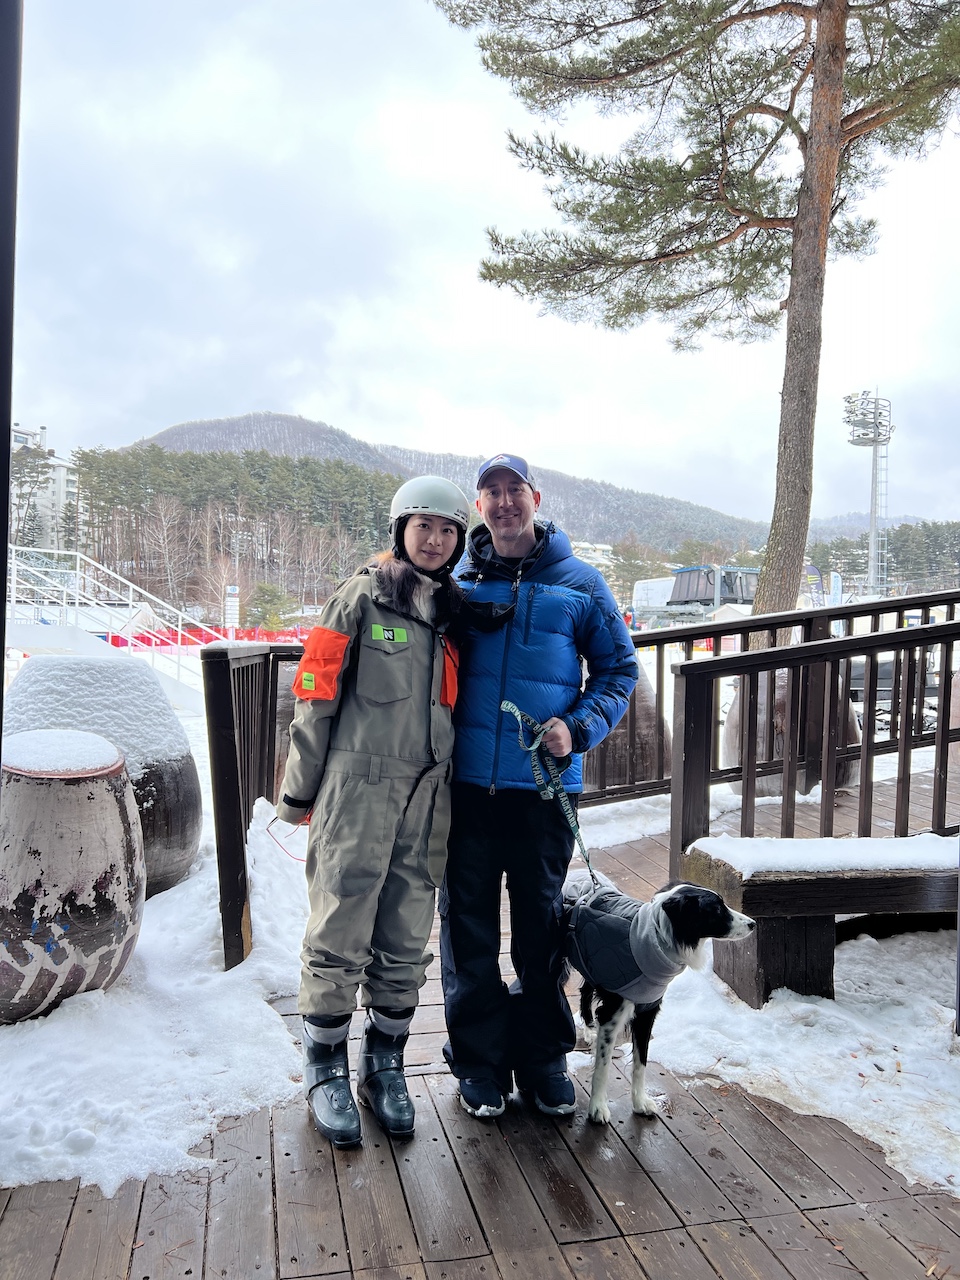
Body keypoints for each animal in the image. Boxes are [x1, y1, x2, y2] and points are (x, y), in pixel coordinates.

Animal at [563, 865, 757, 1126]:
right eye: (717, 909)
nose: (753, 924)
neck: (655, 937)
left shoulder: (647, 1010)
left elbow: (641, 1062)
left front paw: (639, 1103)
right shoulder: (613, 1013)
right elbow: (603, 1066)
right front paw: (598, 1108)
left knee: (585, 992)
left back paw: (589, 1030)